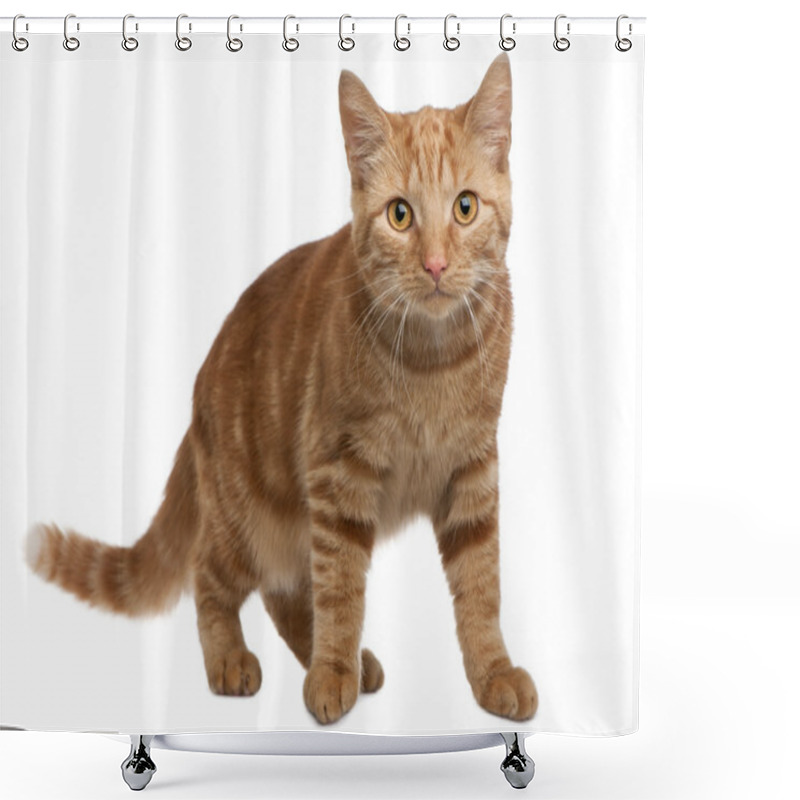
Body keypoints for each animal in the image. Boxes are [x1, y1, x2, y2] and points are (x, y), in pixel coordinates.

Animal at [26, 51, 536, 724]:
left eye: (466, 208)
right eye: (400, 214)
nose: (433, 264)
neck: (433, 360)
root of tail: (197, 394)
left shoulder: (473, 472)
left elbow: (480, 588)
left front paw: (492, 673)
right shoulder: (339, 472)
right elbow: (342, 589)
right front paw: (333, 671)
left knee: (283, 590)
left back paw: (340, 664)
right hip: (248, 515)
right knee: (213, 577)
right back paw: (238, 661)